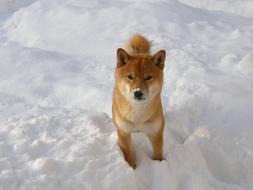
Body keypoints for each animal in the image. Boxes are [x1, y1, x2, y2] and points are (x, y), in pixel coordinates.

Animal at [112, 33, 166, 168]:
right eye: (130, 77)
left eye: (148, 77)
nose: (138, 92)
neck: (138, 115)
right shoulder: (124, 132)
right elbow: (128, 155)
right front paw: (132, 168)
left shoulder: (156, 132)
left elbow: (158, 155)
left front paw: (159, 166)